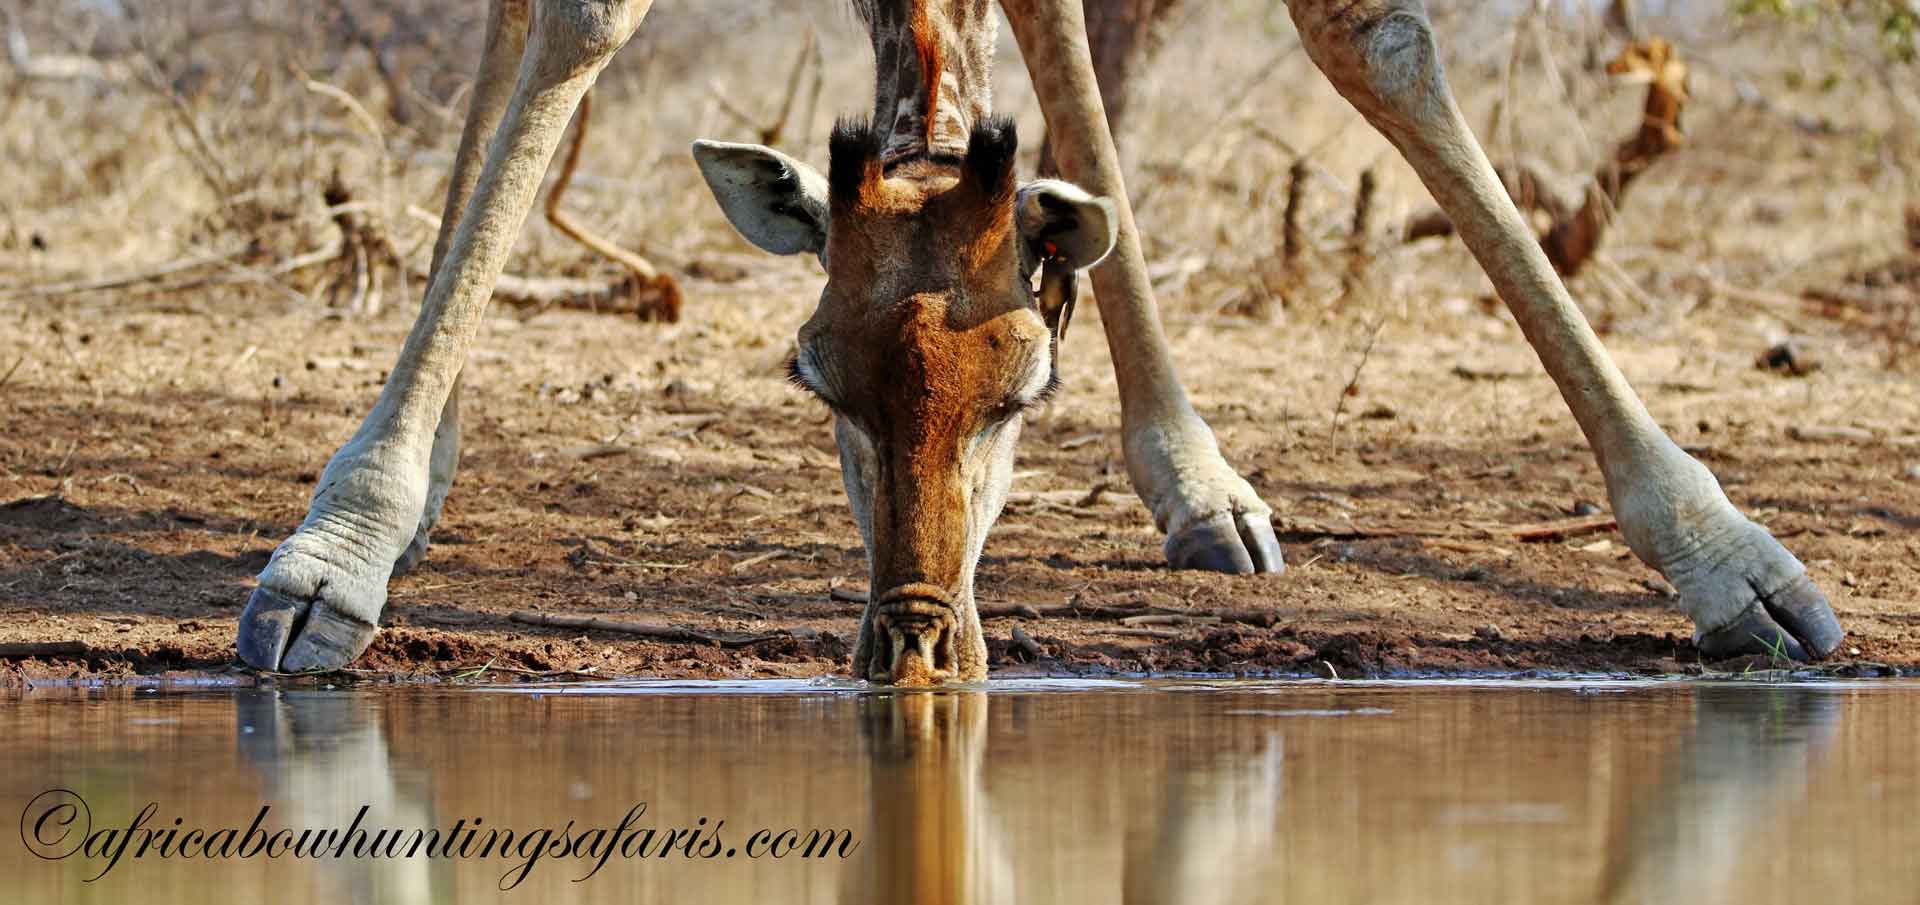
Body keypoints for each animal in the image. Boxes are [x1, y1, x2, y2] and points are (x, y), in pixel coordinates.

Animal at [235, 0, 1843, 684]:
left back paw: (1203, 484)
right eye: (812, 379)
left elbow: (1369, 36)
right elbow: (578, 18)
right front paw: (330, 559)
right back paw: (408, 477)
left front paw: (1741, 568)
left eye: (1028, 391)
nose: (917, 644)